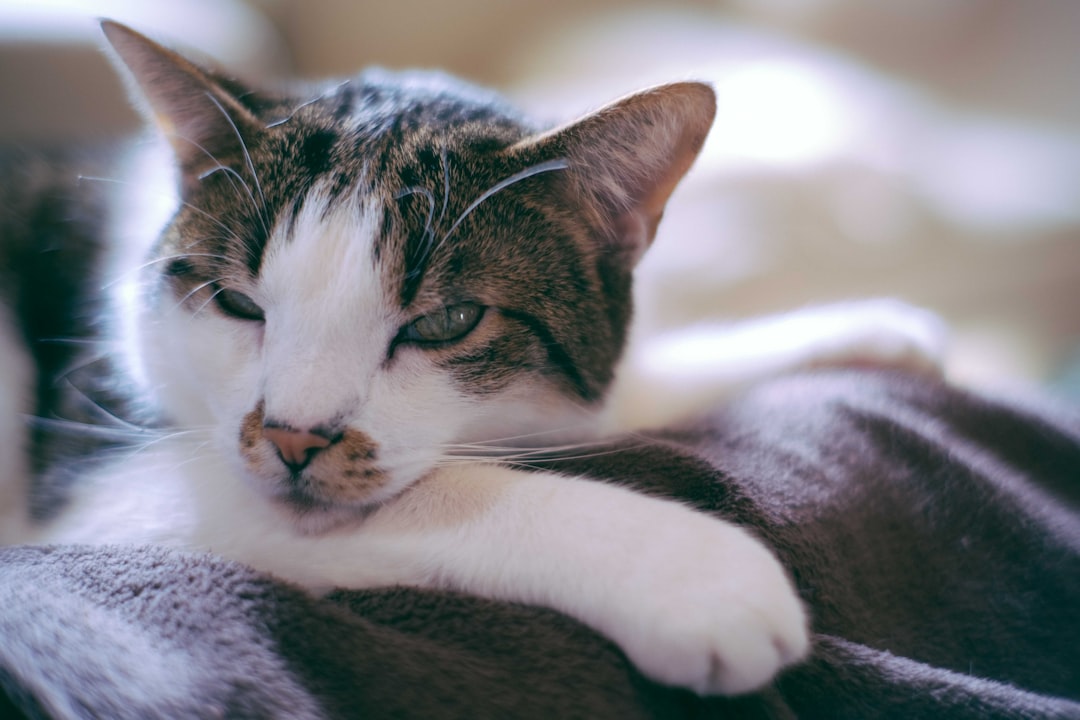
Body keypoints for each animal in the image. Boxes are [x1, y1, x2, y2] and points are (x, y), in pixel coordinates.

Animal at [0, 21, 946, 699]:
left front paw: (873, 338)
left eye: (447, 321)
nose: (293, 439)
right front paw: (689, 570)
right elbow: (440, 492)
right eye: (237, 304)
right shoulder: (105, 493)